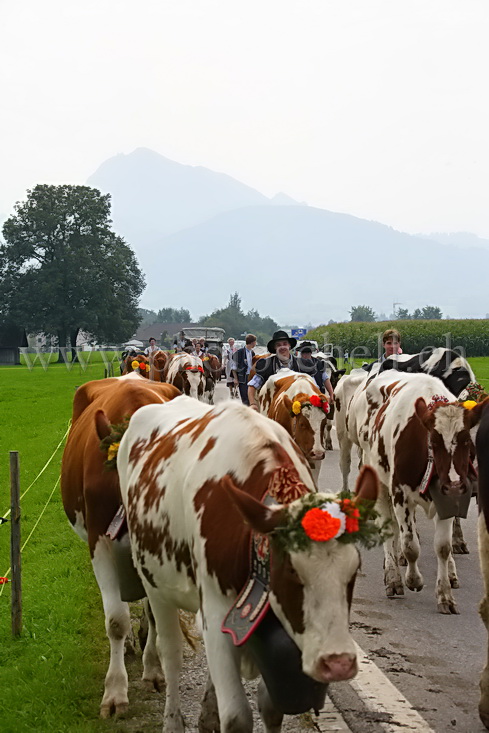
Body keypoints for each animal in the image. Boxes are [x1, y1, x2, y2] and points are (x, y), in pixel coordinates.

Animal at [117, 394, 382, 732]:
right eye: (292, 571)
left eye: (354, 570)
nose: (338, 663)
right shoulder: (215, 610)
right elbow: (237, 717)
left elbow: (271, 708)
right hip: (154, 583)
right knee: (171, 652)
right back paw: (173, 718)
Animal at [346, 368, 482, 616]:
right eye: (434, 441)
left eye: (467, 441)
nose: (455, 485)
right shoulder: (400, 494)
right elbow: (410, 545)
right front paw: (412, 580)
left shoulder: (447, 501)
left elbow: (443, 548)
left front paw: (445, 594)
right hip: (379, 481)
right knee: (389, 530)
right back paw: (392, 577)